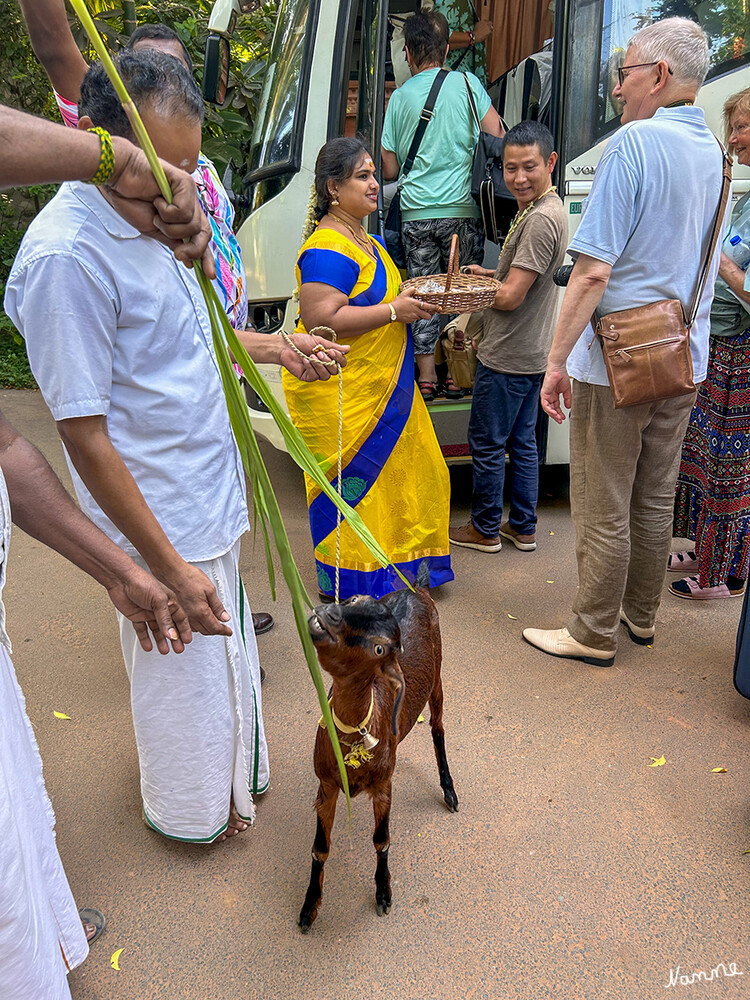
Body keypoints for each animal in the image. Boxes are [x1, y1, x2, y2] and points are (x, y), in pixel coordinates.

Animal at [300, 572, 458, 928]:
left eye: (379, 647)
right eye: (353, 599)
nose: (332, 613)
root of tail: (418, 588)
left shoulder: (384, 786)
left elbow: (381, 839)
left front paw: (383, 893)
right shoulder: (326, 785)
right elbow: (320, 848)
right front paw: (309, 906)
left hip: (439, 674)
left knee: (438, 728)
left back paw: (449, 790)